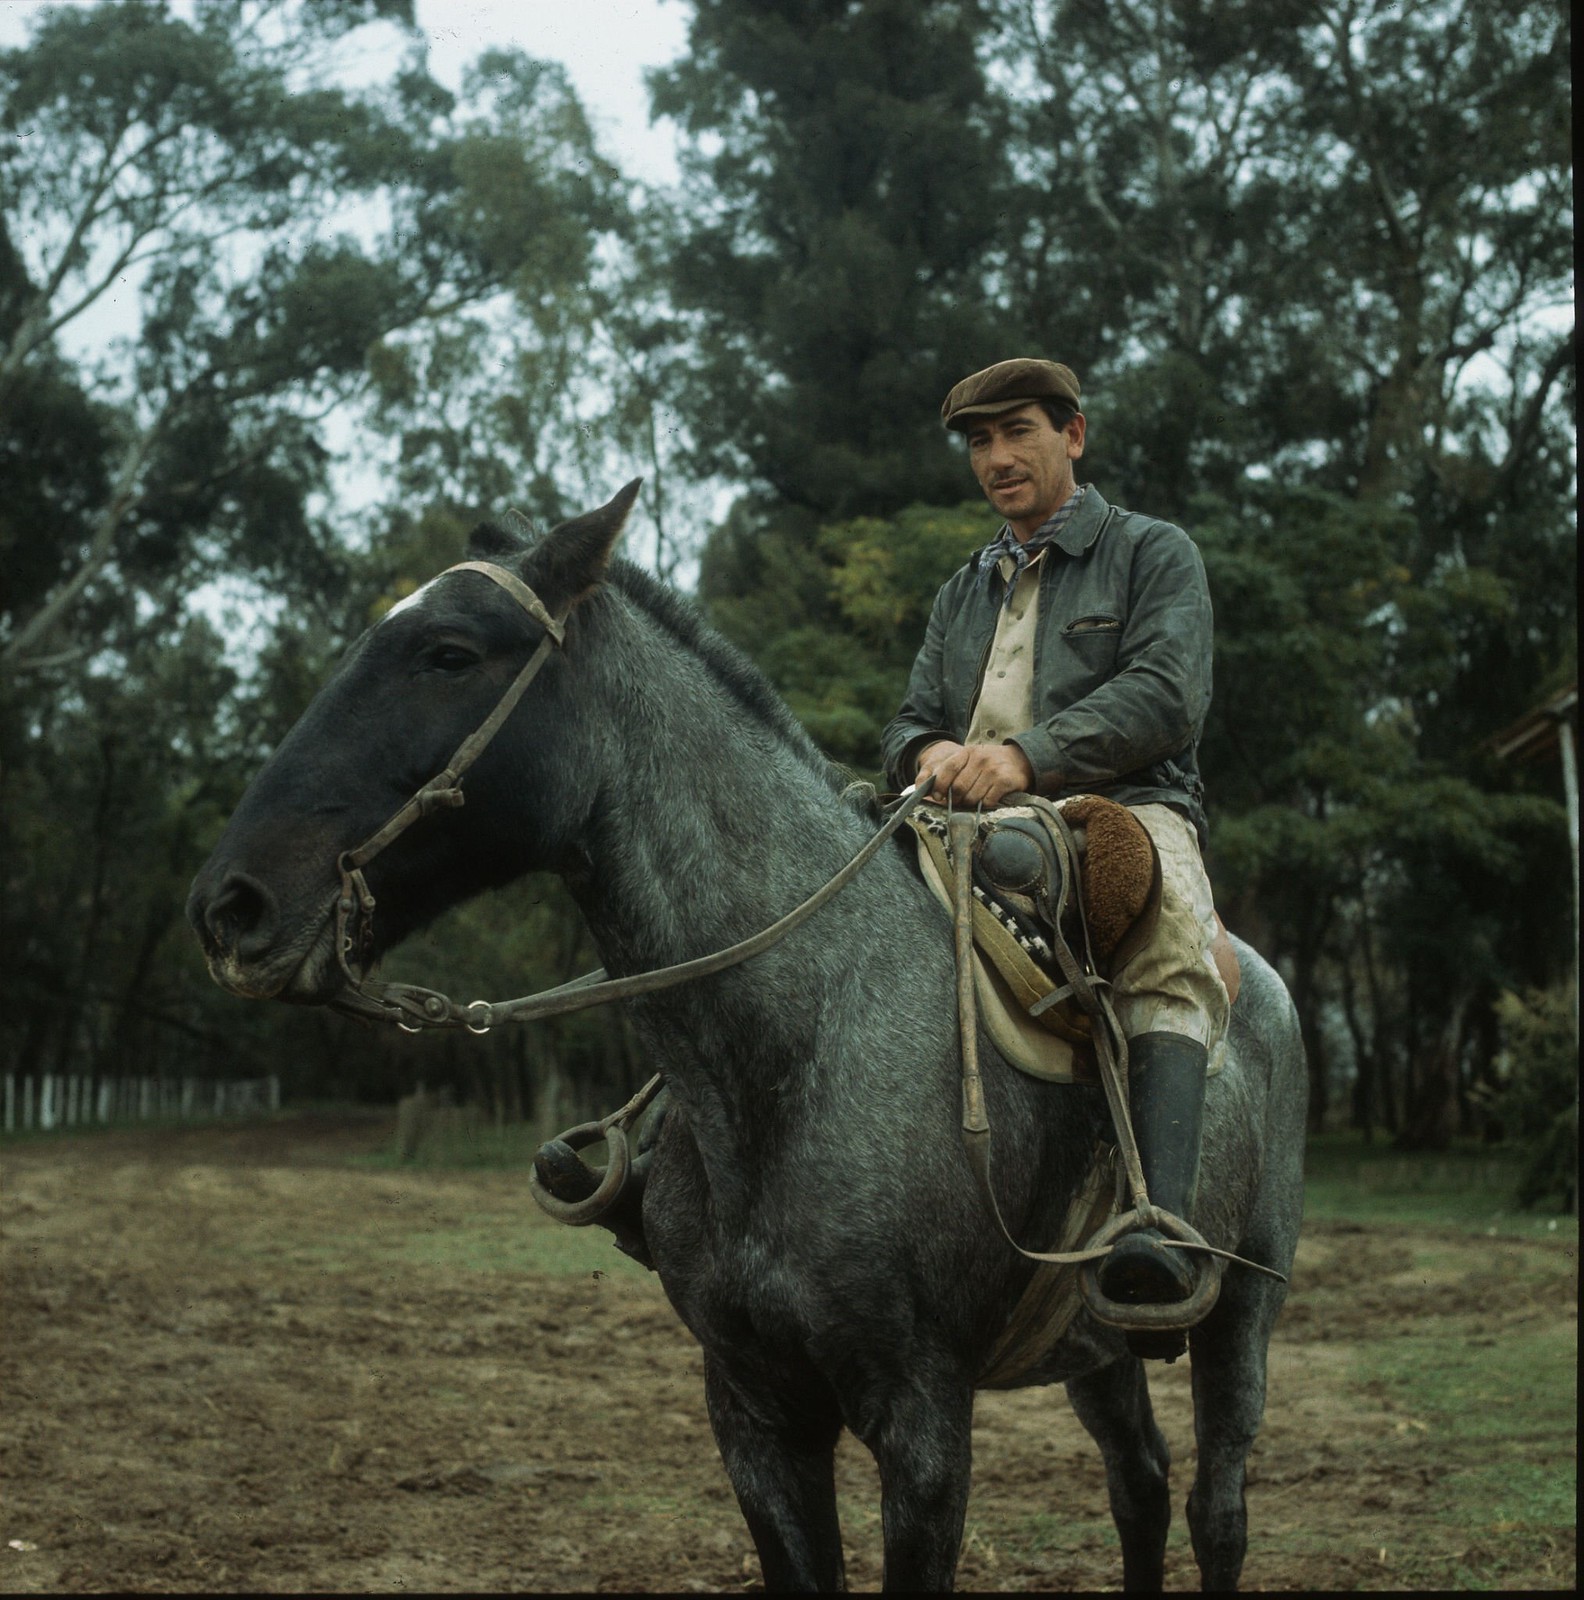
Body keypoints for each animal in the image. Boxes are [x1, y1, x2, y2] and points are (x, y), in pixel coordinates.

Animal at [188, 480, 1299, 1593]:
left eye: (449, 653)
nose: (230, 905)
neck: (803, 1043)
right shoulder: (754, 1412)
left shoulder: (924, 1421)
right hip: (1095, 1348)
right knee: (1140, 1484)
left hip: (1240, 1314)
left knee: (1217, 1510)